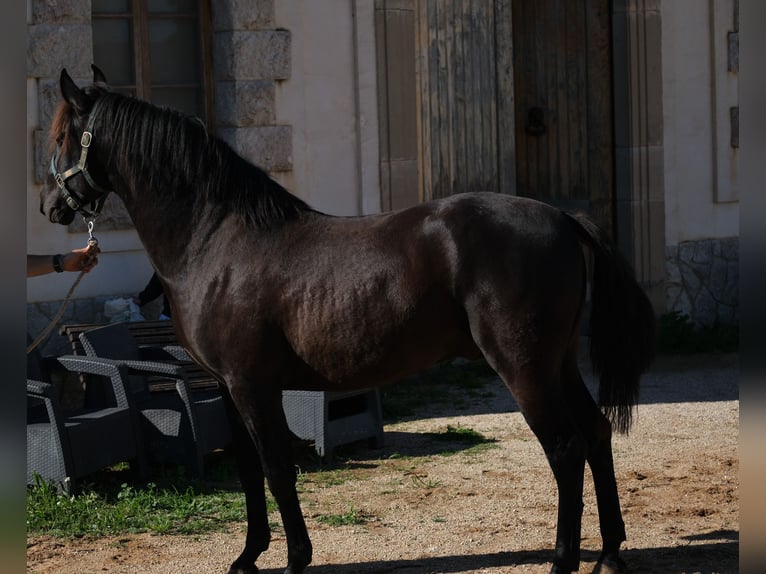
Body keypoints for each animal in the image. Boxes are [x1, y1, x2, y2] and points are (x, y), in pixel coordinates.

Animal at [40, 68, 656, 574]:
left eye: (63, 137)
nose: (51, 207)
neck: (217, 239)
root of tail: (563, 218)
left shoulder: (252, 386)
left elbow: (277, 469)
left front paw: (295, 559)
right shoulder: (226, 388)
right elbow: (247, 469)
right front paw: (248, 557)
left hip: (525, 369)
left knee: (566, 449)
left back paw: (563, 560)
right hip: (558, 365)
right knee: (597, 434)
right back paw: (608, 554)